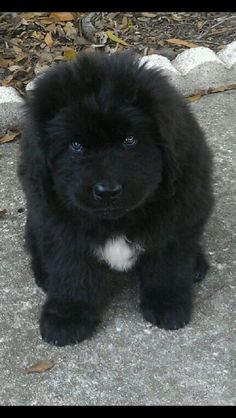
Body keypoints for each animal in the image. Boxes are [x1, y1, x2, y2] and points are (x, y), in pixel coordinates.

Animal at [18, 51, 214, 346]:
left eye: (130, 140)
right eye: (76, 146)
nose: (107, 190)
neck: (117, 222)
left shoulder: (176, 221)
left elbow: (167, 264)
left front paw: (167, 303)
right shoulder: (59, 227)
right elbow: (71, 271)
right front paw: (67, 316)